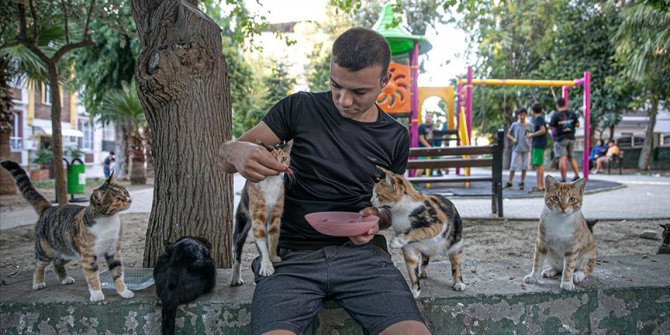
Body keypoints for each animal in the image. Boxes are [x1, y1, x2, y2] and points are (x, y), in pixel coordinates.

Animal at [0, 160, 135, 302]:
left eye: (125, 192)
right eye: (117, 199)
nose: (129, 199)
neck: (108, 221)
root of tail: (48, 208)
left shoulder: (113, 250)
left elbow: (117, 272)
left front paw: (123, 291)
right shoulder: (88, 256)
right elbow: (92, 276)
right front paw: (97, 293)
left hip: (68, 250)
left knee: (57, 262)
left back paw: (64, 279)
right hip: (46, 250)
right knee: (39, 264)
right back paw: (38, 282)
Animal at [230, 142, 292, 286]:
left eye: (284, 158)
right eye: (271, 158)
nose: (280, 166)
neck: (270, 183)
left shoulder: (276, 214)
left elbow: (273, 236)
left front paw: (273, 256)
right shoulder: (258, 215)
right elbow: (262, 240)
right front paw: (266, 266)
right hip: (242, 221)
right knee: (237, 249)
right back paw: (236, 278)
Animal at [370, 167, 464, 298]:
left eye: (379, 195)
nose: (371, 201)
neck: (401, 211)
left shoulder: (437, 224)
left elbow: (418, 231)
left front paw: (396, 241)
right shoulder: (409, 249)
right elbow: (411, 268)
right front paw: (414, 290)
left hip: (455, 241)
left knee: (456, 262)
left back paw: (458, 282)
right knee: (425, 256)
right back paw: (423, 271)